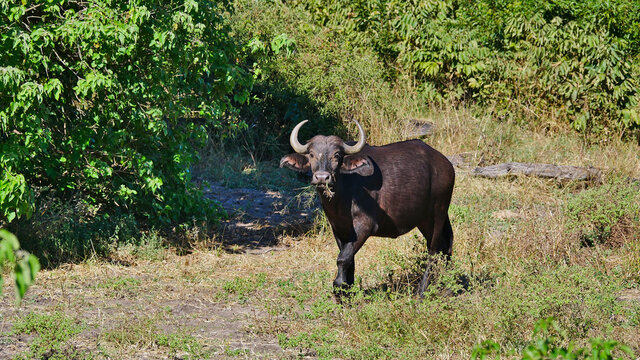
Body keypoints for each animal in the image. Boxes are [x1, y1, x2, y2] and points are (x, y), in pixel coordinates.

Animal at [280, 120, 456, 296]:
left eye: (337, 155)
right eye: (311, 154)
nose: (322, 177)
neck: (342, 198)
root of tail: (446, 165)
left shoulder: (365, 226)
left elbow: (342, 259)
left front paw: (339, 286)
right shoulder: (339, 230)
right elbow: (349, 260)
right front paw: (347, 291)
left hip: (438, 212)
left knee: (434, 250)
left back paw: (423, 290)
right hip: (425, 220)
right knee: (446, 244)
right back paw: (446, 285)